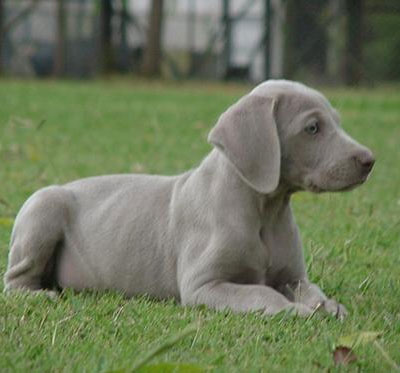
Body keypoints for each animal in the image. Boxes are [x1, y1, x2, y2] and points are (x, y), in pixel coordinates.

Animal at [3, 80, 374, 318]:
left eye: (336, 122)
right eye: (312, 128)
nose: (370, 160)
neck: (264, 210)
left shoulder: (293, 277)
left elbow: (310, 290)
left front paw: (327, 306)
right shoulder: (204, 285)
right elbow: (260, 292)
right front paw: (295, 312)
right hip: (43, 208)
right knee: (14, 281)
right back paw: (41, 294)